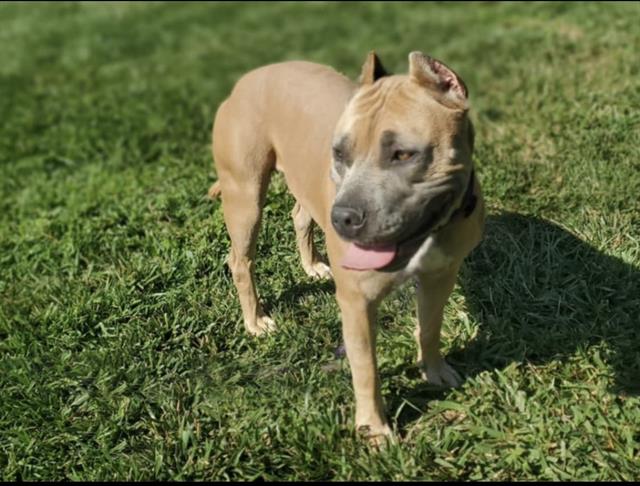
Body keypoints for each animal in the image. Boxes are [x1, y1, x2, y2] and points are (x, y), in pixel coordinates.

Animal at [210, 51, 484, 442]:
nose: (342, 218)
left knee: (300, 215)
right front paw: (374, 429)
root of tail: (250, 77)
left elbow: (430, 327)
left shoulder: (440, 276)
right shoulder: (357, 303)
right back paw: (256, 320)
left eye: (403, 154)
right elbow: (366, 366)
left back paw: (312, 265)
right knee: (240, 260)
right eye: (339, 154)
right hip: (245, 197)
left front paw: (434, 370)